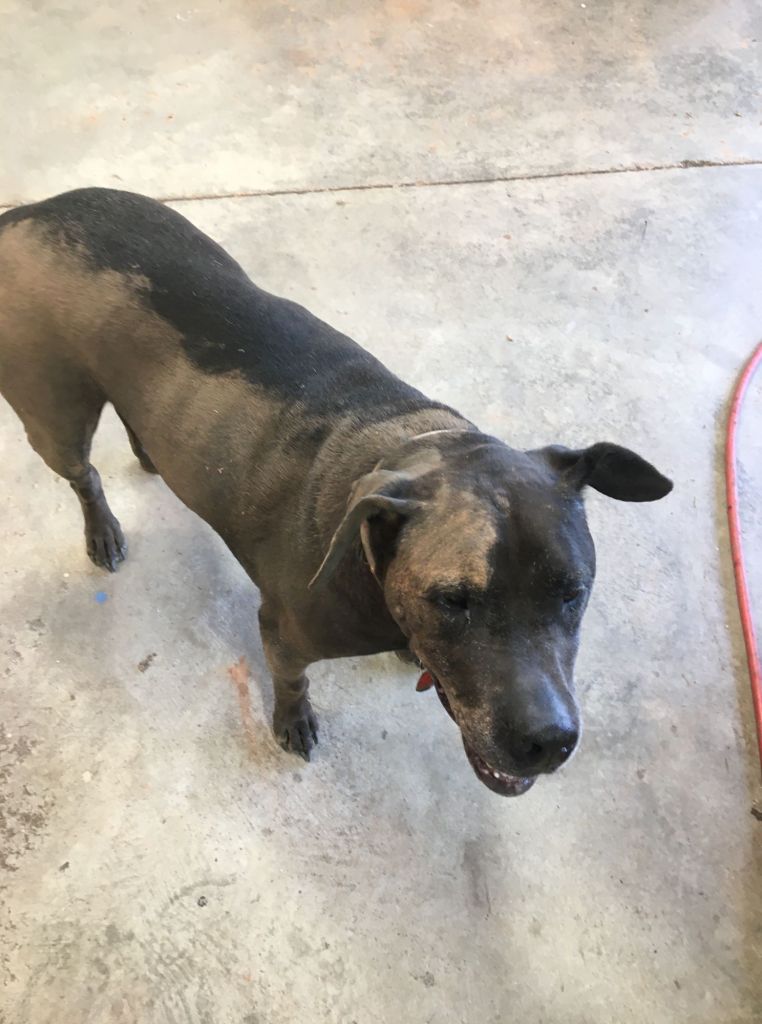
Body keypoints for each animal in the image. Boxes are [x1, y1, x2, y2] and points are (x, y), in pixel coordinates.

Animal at [0, 188, 672, 796]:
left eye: (573, 593)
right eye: (453, 601)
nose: (547, 741)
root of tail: (31, 210)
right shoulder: (281, 632)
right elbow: (292, 681)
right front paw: (293, 719)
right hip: (52, 415)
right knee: (84, 474)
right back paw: (102, 530)